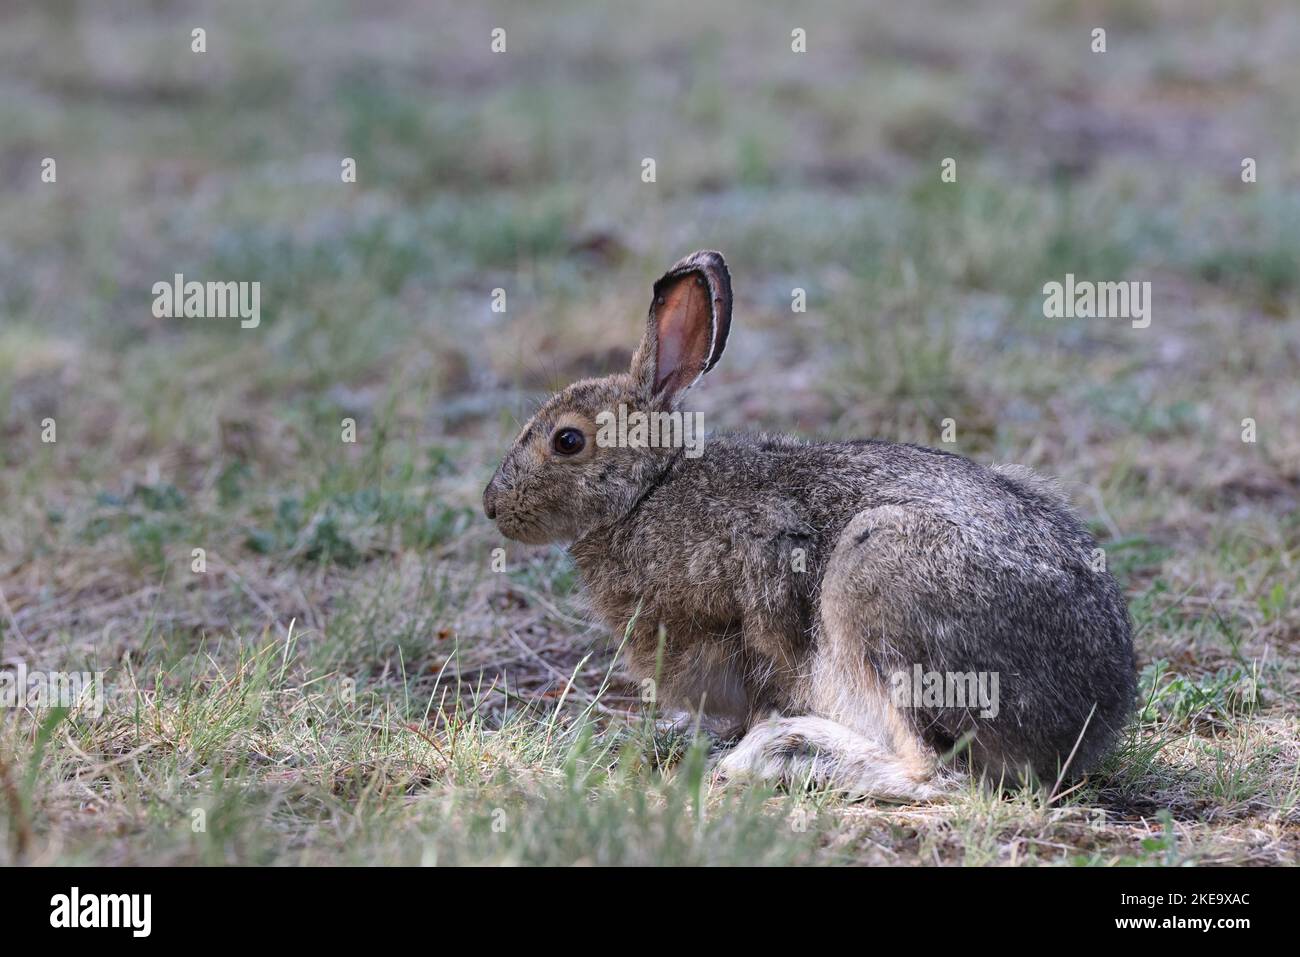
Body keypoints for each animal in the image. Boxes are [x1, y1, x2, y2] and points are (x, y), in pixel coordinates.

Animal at [483, 250, 1136, 801]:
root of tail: (1085, 725)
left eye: (567, 441)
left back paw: (781, 755)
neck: (648, 490)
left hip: (880, 587)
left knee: (936, 774)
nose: (493, 506)